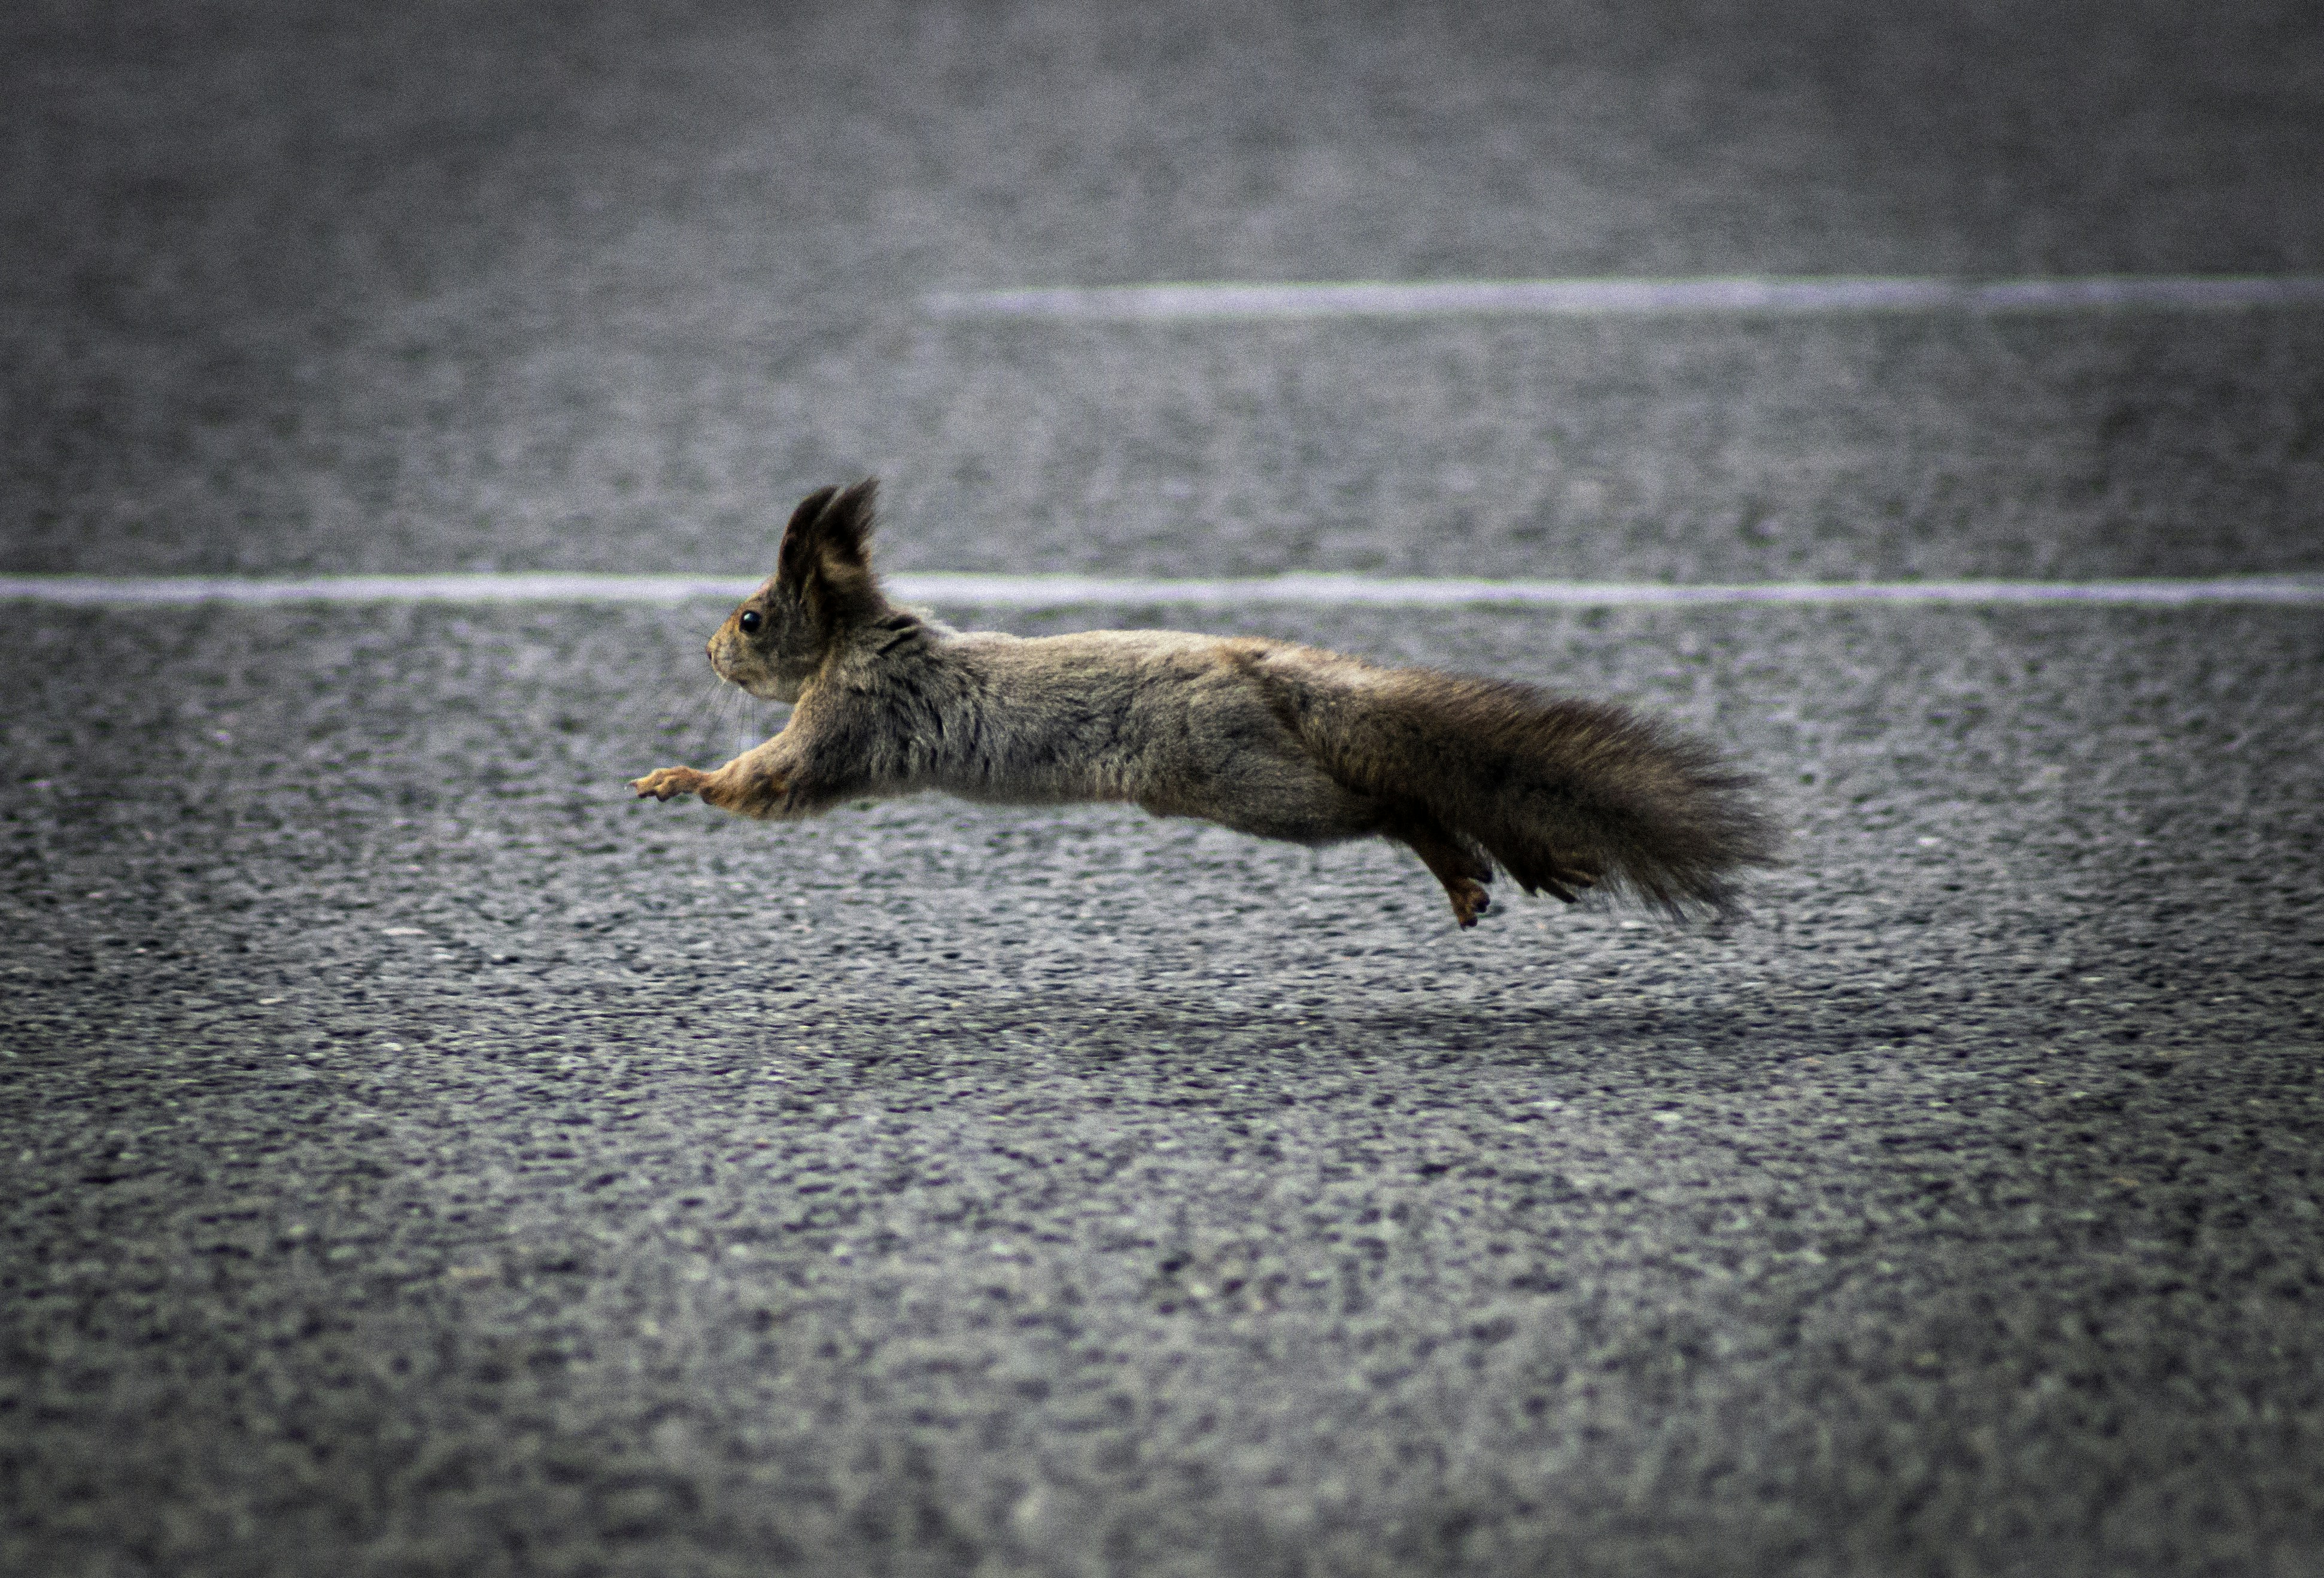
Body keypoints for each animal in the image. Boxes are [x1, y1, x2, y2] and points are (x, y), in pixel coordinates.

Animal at [631, 480, 1779, 928]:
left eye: (750, 618)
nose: (706, 650)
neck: (861, 637)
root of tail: (1254, 665)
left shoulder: (850, 721)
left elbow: (772, 779)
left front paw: (680, 777)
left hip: (1243, 781)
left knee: (1389, 804)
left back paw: (1457, 868)